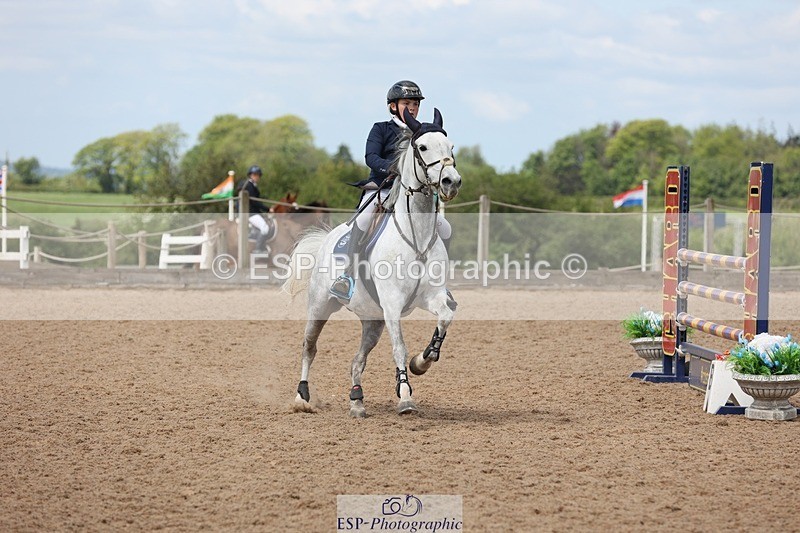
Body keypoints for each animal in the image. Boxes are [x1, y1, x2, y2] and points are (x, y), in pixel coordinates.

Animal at [283, 108, 462, 417]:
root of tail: (326, 240)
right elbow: (399, 347)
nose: (451, 181)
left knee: (357, 360)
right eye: (423, 147)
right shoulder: (392, 303)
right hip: (320, 306)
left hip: (372, 320)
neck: (415, 237)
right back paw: (302, 397)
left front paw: (422, 361)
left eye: (450, 147)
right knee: (309, 346)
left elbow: (445, 318)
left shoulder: (432, 296)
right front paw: (405, 396)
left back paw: (357, 400)